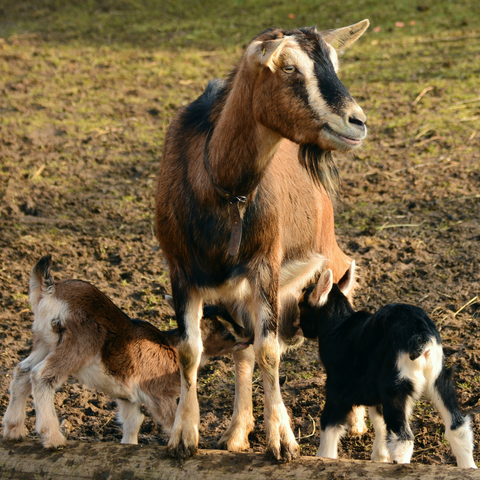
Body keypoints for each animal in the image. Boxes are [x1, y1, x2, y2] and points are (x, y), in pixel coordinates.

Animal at [156, 20, 370, 464]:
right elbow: (190, 351)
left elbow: (269, 350)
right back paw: (237, 432)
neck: (221, 188)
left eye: (334, 61)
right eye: (288, 67)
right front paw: (184, 437)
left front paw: (283, 441)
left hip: (330, 255)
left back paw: (356, 422)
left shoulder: (265, 264)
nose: (357, 122)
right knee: (243, 350)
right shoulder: (180, 269)